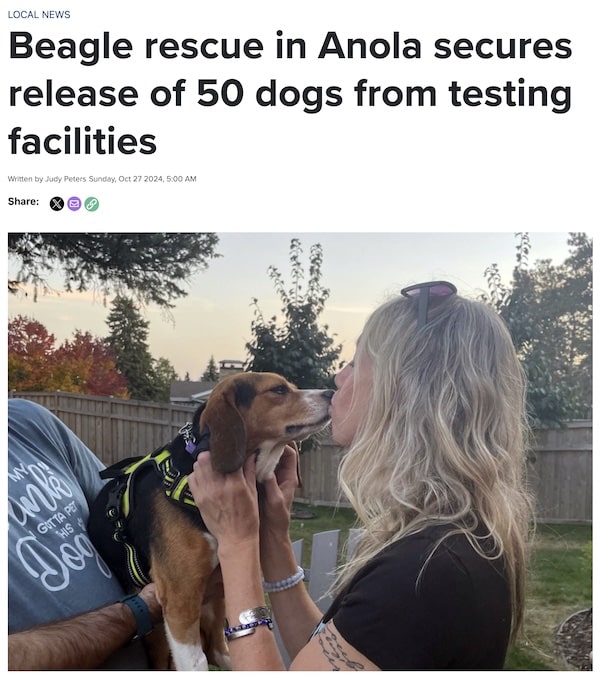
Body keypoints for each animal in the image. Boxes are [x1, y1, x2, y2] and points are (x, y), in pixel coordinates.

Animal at [88, 374, 332, 672]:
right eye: (278, 389)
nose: (331, 393)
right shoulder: (180, 599)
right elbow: (196, 662)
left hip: (217, 603)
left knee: (217, 650)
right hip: (161, 630)